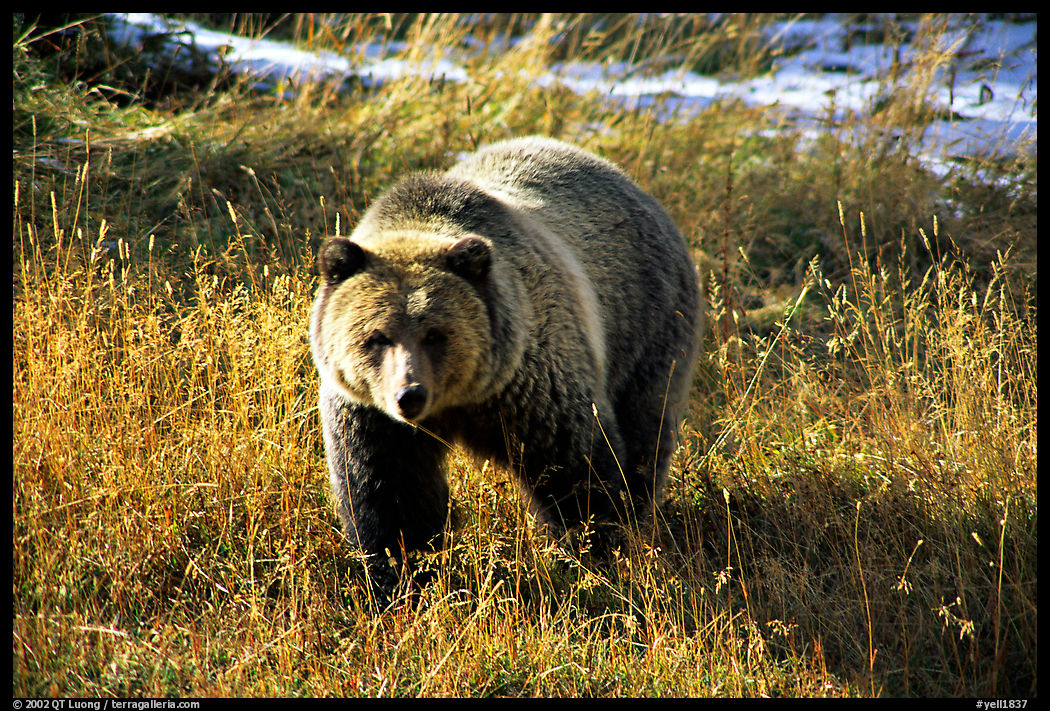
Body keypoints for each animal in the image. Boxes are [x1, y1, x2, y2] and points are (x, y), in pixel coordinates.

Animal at [310, 136, 702, 598]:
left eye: (436, 333)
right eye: (377, 336)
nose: (410, 395)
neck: (459, 401)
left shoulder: (531, 383)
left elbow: (574, 469)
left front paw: (597, 549)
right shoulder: (372, 415)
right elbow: (390, 494)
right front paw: (400, 574)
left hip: (645, 317)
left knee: (645, 425)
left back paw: (640, 507)